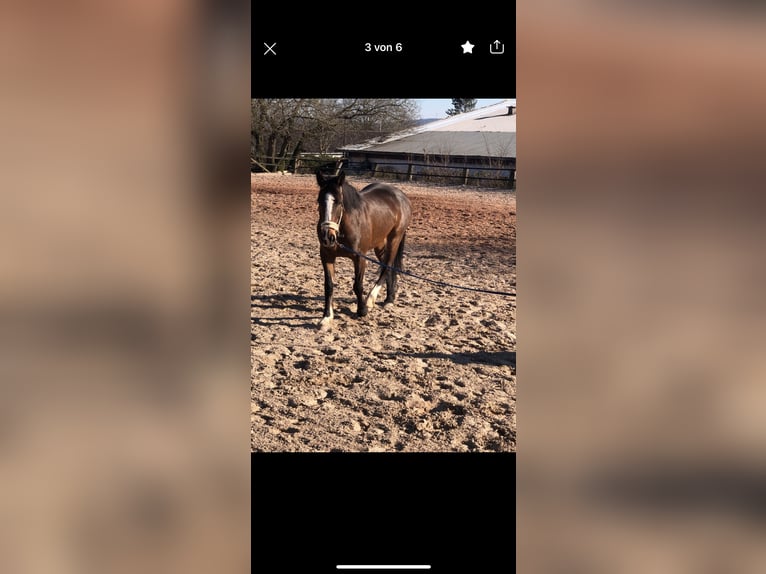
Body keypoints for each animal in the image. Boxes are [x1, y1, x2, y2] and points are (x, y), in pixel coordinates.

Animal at [316, 170, 412, 330]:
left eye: (339, 202)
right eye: (319, 202)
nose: (327, 237)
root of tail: (401, 195)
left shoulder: (359, 258)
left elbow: (358, 285)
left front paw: (362, 310)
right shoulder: (327, 256)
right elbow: (329, 286)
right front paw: (327, 317)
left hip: (394, 239)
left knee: (387, 267)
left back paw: (371, 300)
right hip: (380, 244)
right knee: (387, 266)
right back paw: (389, 298)